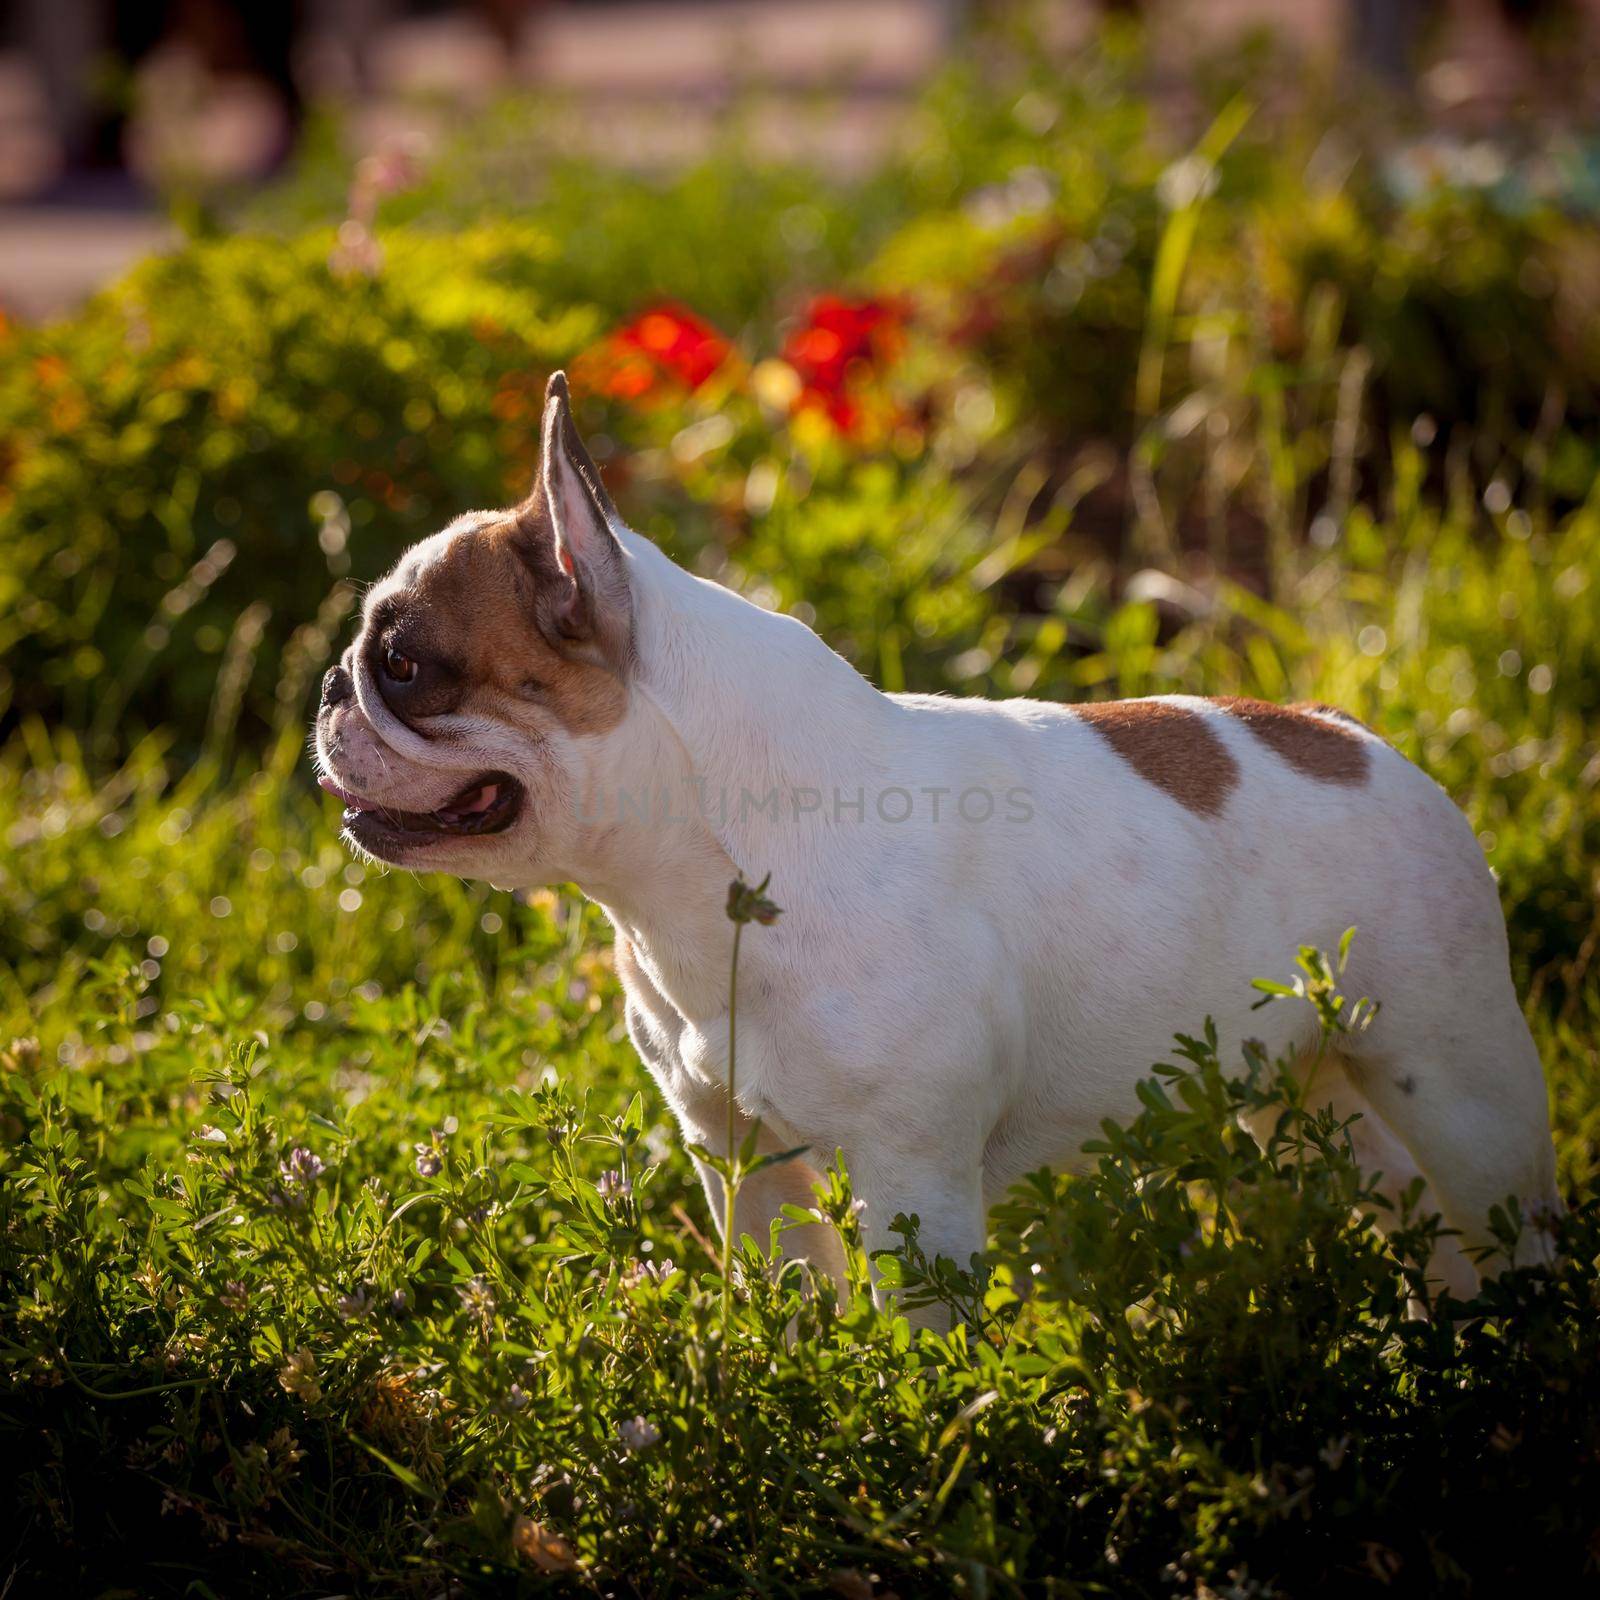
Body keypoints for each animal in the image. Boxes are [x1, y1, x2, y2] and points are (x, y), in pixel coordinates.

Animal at [315, 374, 1561, 1312]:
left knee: (1505, 1219)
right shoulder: (737, 1157)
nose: (329, 686)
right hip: (1309, 1100)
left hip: (1455, 1081)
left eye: (406, 663)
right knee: (1413, 1216)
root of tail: (1354, 735)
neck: (706, 868)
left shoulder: (912, 1174)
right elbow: (781, 1301)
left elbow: (913, 1340)